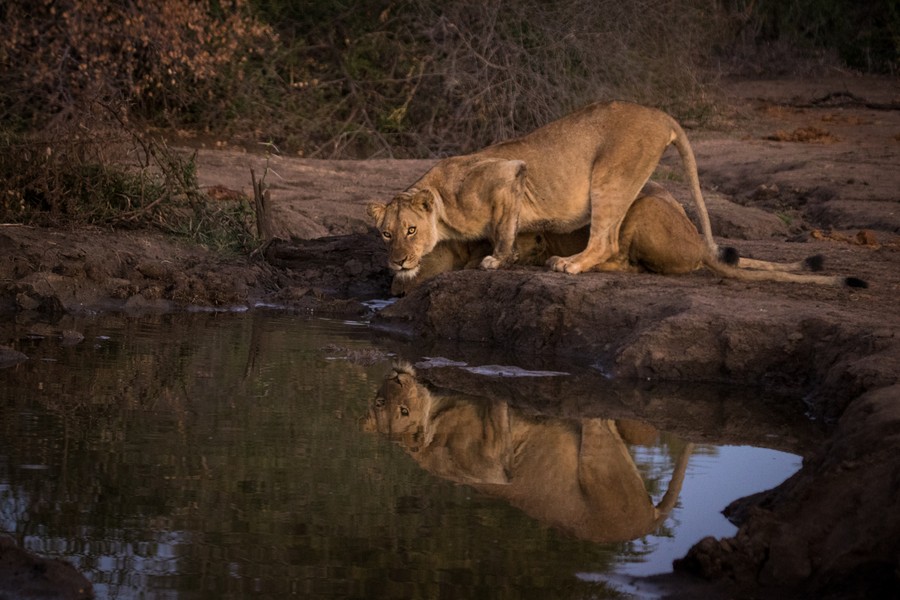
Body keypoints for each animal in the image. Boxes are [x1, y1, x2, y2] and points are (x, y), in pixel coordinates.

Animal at [362, 360, 692, 544]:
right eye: (385, 403)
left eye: (399, 408)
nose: (397, 377)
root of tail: (646, 523)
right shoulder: (492, 467)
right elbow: (498, 416)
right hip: (597, 459)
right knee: (599, 419)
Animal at [366, 101, 716, 278]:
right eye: (386, 234)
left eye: (411, 230)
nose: (398, 262)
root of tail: (661, 115)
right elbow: (510, 230)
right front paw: (513, 256)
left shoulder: (508, 173)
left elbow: (503, 229)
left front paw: (497, 260)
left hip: (610, 176)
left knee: (605, 241)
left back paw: (569, 264)